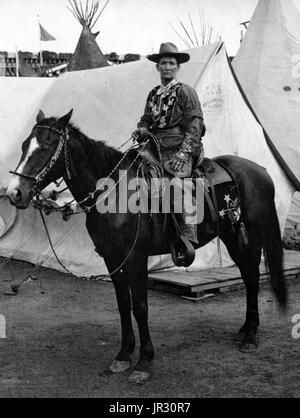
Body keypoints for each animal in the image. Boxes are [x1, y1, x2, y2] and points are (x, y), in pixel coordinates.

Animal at [7, 109, 288, 384]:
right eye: (24, 145)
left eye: (46, 146)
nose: (14, 193)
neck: (114, 195)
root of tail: (260, 170)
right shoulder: (112, 259)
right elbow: (123, 304)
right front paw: (123, 354)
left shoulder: (136, 258)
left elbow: (141, 307)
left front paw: (144, 361)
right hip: (231, 237)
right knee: (249, 276)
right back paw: (246, 328)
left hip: (249, 237)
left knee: (253, 278)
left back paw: (250, 336)